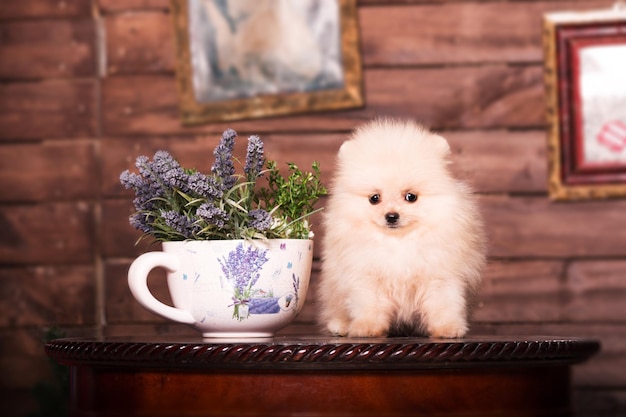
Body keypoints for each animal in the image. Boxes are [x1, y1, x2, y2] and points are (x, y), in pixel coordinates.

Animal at [320, 118, 486, 338]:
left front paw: (448, 328)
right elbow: (370, 305)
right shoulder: (367, 277)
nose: (391, 216)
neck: (398, 242)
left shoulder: (440, 275)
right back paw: (340, 325)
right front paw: (366, 327)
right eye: (374, 198)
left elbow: (443, 304)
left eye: (411, 197)